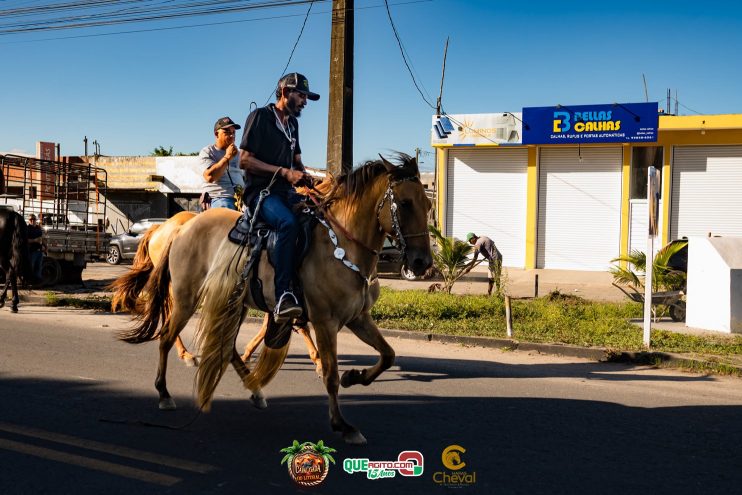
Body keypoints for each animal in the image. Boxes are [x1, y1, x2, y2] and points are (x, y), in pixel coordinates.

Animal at [109, 212, 322, 372]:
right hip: (181, 287)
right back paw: (186, 354)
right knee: (171, 313)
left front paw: (247, 353)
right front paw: (318, 360)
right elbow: (299, 324)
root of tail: (162, 228)